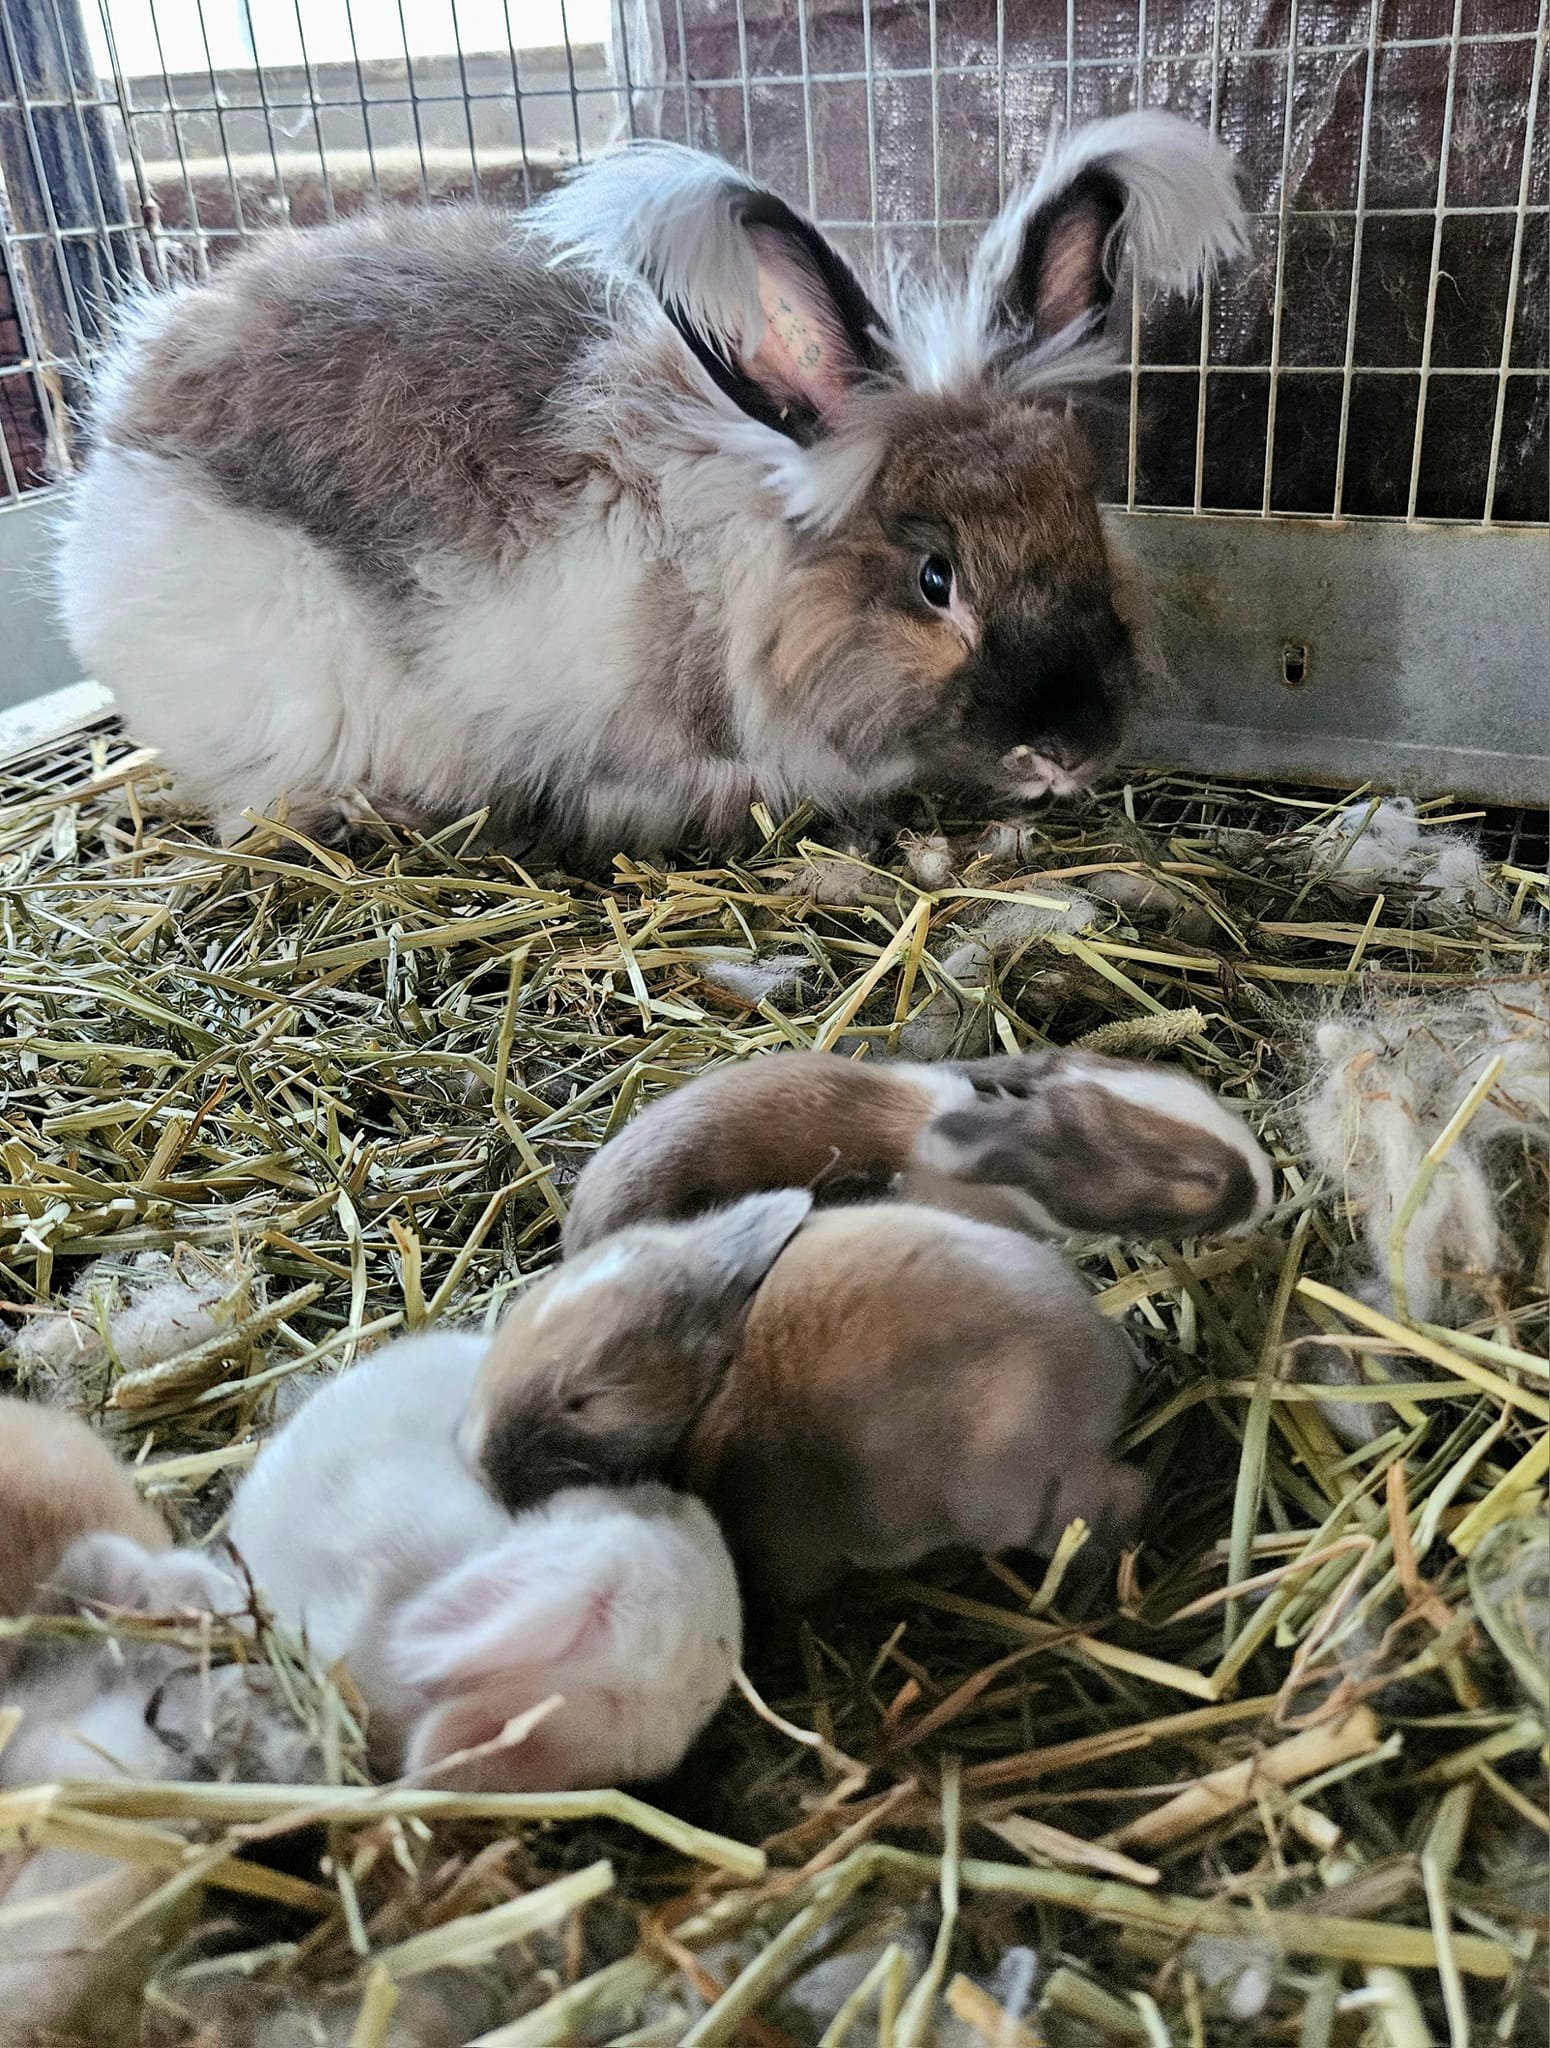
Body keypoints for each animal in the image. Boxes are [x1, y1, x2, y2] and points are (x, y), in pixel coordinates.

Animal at [465, 1189, 1146, 1604]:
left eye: (588, 1399)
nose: (484, 1470)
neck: (720, 1377)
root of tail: (1102, 1369)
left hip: (1015, 1491)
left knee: (1116, 1501)